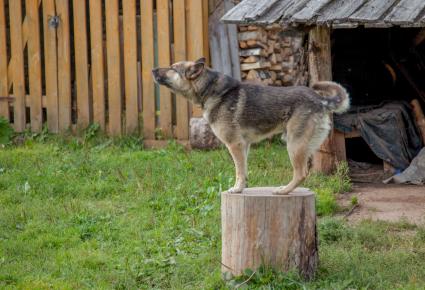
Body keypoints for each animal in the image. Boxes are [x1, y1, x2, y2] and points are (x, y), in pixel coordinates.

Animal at [152, 57, 348, 194]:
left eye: (172, 68)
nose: (153, 69)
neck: (210, 89)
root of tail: (320, 100)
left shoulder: (234, 145)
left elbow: (239, 171)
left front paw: (237, 189)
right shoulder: (244, 146)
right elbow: (244, 171)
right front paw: (243, 188)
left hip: (294, 145)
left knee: (301, 173)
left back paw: (283, 190)